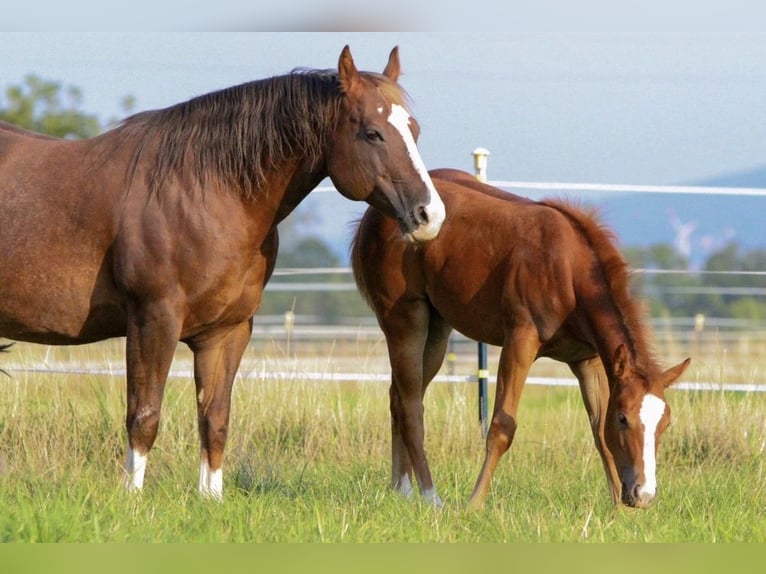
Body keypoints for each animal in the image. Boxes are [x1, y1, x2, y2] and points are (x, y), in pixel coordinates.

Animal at [0, 45, 446, 499]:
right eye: (373, 133)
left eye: (413, 129)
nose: (429, 215)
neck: (203, 193)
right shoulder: (152, 319)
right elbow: (144, 414)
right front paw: (132, 499)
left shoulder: (227, 331)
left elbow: (215, 417)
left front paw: (210, 498)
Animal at [351, 168, 690, 509]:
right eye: (623, 418)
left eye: (666, 423)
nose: (643, 494)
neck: (568, 269)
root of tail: (372, 216)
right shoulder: (519, 343)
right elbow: (503, 425)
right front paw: (475, 503)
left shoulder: (588, 361)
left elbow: (598, 431)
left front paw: (618, 511)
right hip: (405, 320)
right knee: (410, 405)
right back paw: (423, 493)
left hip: (435, 334)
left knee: (400, 396)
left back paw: (401, 488)